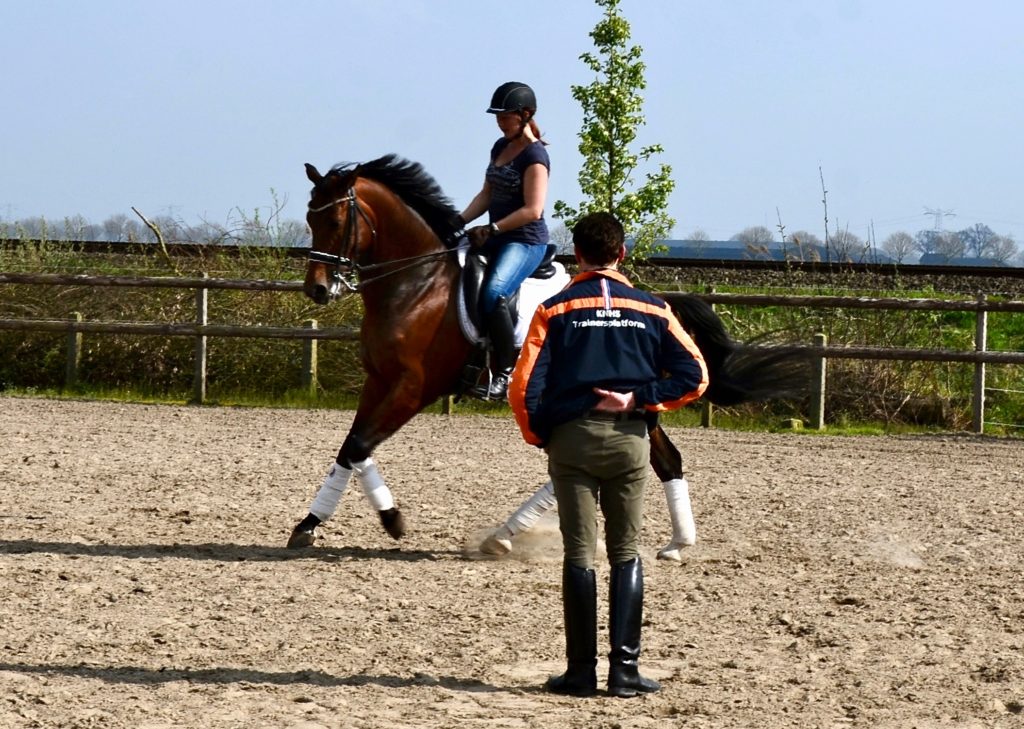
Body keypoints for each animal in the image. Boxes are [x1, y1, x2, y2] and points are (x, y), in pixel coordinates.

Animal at [286, 155, 806, 552]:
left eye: (335, 221)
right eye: (310, 219)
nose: (317, 290)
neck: (416, 284)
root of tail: (664, 306)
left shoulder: (414, 388)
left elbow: (360, 445)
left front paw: (388, 520)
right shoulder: (380, 381)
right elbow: (351, 448)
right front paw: (312, 524)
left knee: (623, 462)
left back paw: (508, 535)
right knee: (660, 461)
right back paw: (676, 545)